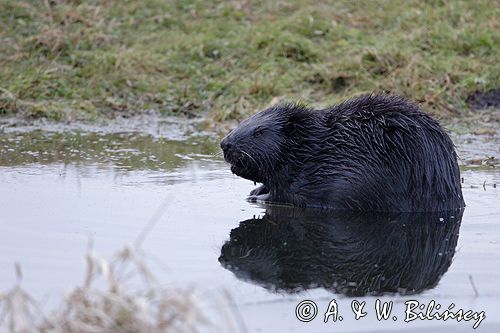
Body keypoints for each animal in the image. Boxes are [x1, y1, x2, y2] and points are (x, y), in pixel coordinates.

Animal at [221, 94, 466, 211]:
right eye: (243, 121)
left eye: (259, 131)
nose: (225, 144)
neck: (312, 148)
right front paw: (256, 191)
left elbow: (284, 195)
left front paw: (258, 197)